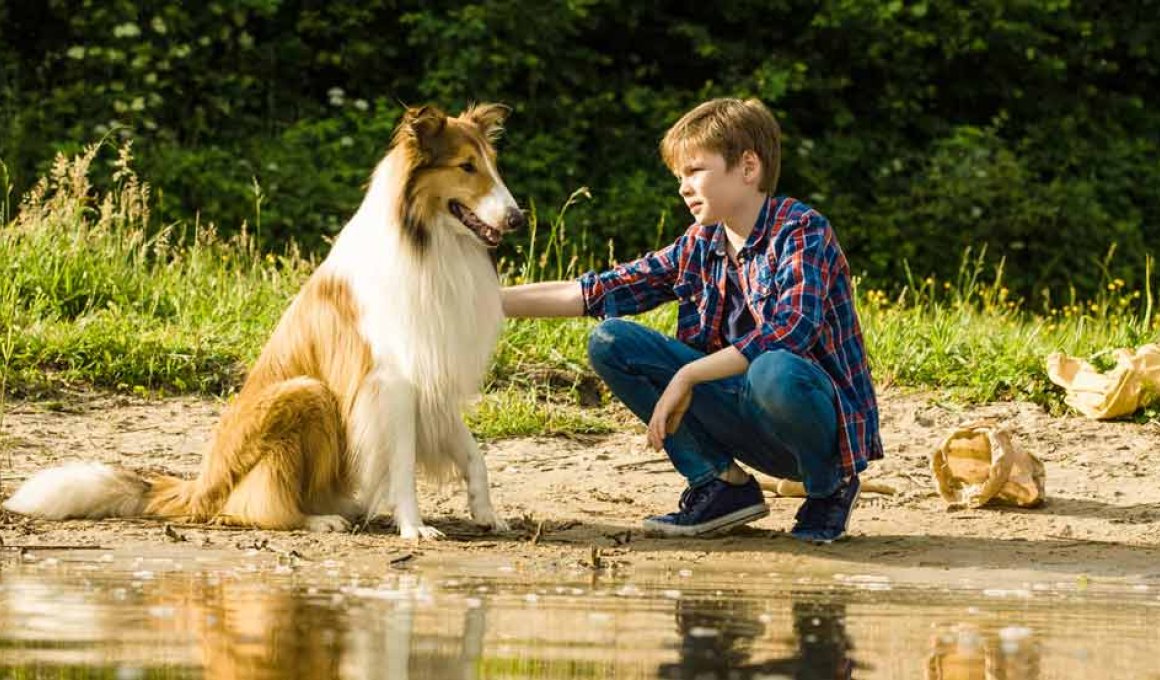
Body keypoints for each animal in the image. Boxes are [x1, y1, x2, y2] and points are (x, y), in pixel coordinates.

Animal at [1, 103, 526, 538]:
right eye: (466, 167)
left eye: (494, 166)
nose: (518, 218)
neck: (428, 242)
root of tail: (201, 486)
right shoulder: (391, 380)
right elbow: (400, 466)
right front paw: (414, 528)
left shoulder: (433, 374)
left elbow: (473, 453)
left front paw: (486, 513)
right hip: (305, 392)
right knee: (252, 506)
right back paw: (317, 519)